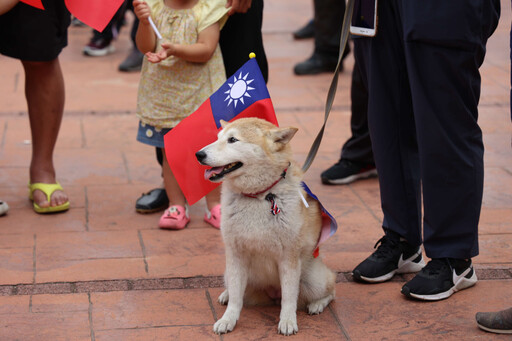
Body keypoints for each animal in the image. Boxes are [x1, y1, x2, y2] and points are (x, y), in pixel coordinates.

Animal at [195, 117, 336, 334]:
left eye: (233, 139)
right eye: (217, 138)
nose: (199, 154)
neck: (258, 196)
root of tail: (272, 293)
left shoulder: (289, 258)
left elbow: (289, 298)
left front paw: (287, 321)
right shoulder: (235, 255)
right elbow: (236, 299)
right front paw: (228, 319)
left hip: (313, 280)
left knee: (330, 290)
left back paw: (317, 304)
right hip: (232, 273)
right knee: (236, 291)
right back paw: (226, 294)